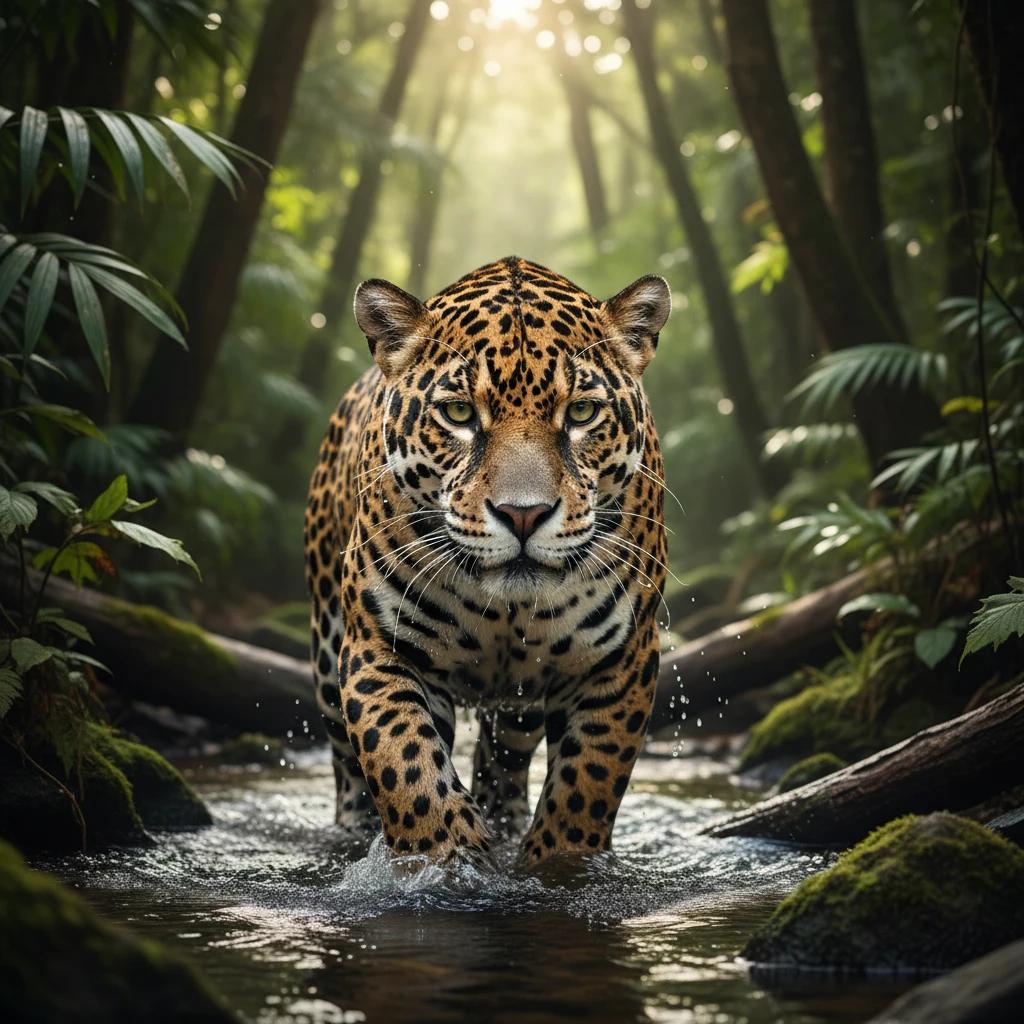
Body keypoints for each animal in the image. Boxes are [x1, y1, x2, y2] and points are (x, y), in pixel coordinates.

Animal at [304, 256, 671, 869]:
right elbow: (409, 770)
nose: (523, 514)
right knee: (348, 767)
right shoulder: (380, 647)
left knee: (505, 756)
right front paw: (450, 867)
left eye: (581, 412)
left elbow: (585, 787)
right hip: (330, 661)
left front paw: (553, 868)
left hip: (522, 702)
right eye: (458, 413)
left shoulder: (619, 660)